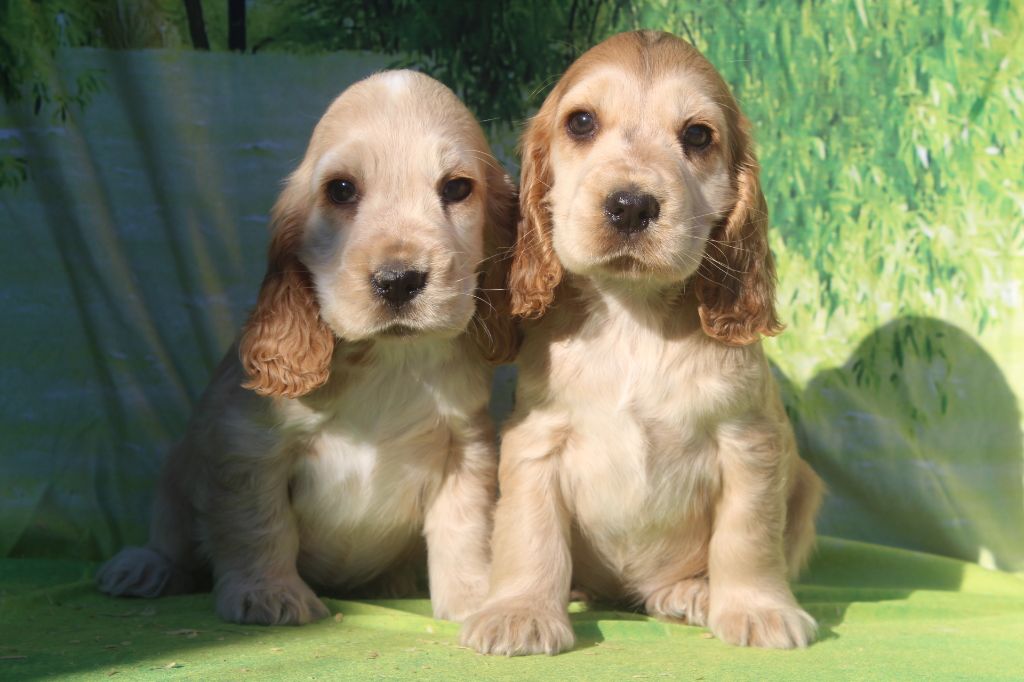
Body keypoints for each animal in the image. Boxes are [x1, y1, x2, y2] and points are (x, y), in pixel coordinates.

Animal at [96, 70, 517, 625]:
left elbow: (464, 529)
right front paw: (269, 594)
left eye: (457, 188)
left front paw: (475, 599)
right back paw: (144, 567)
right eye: (340, 189)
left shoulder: (465, 446)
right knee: (172, 541)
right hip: (176, 475)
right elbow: (259, 524)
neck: (387, 361)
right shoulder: (246, 443)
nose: (399, 280)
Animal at [460, 31, 823, 654]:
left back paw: (691, 591)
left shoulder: (750, 443)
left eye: (698, 136)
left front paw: (758, 609)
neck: (634, 318)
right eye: (581, 122)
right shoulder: (535, 440)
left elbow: (747, 536)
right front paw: (519, 612)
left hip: (804, 484)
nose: (630, 204)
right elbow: (530, 534)